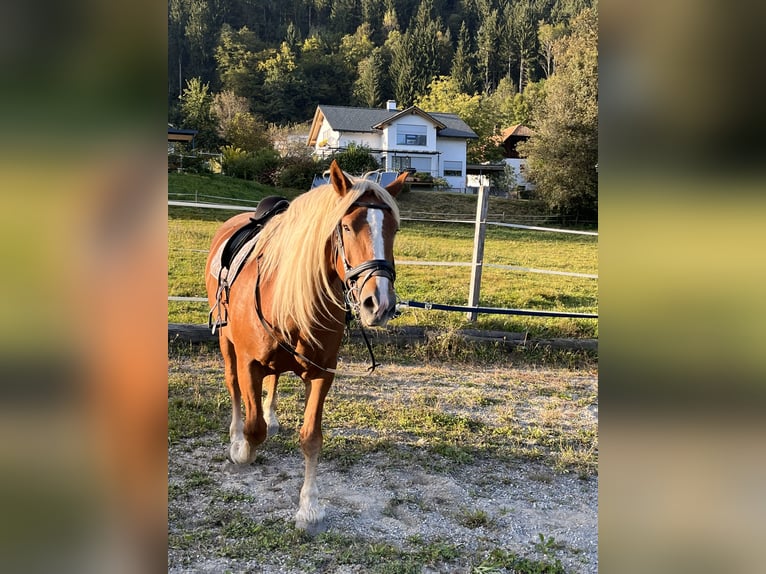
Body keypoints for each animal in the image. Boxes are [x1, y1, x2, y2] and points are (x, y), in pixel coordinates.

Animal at [205, 160, 407, 530]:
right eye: (346, 226)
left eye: (393, 230)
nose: (380, 303)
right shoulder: (249, 363)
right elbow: (254, 429)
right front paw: (242, 449)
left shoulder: (322, 373)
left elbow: (311, 438)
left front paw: (309, 507)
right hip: (227, 344)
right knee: (234, 388)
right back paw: (236, 433)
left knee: (273, 381)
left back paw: (271, 416)